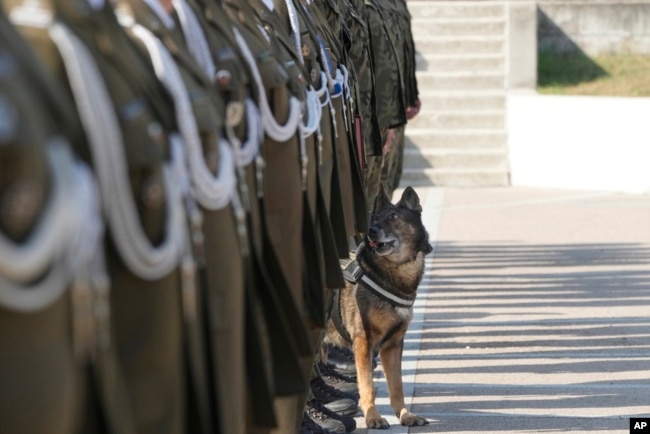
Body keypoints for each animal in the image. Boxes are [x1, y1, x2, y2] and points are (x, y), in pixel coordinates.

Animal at [324, 187, 430, 430]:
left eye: (394, 217)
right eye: (373, 219)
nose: (371, 231)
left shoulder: (392, 345)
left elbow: (397, 385)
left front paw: (405, 415)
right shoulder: (363, 343)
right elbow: (368, 387)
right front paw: (373, 418)